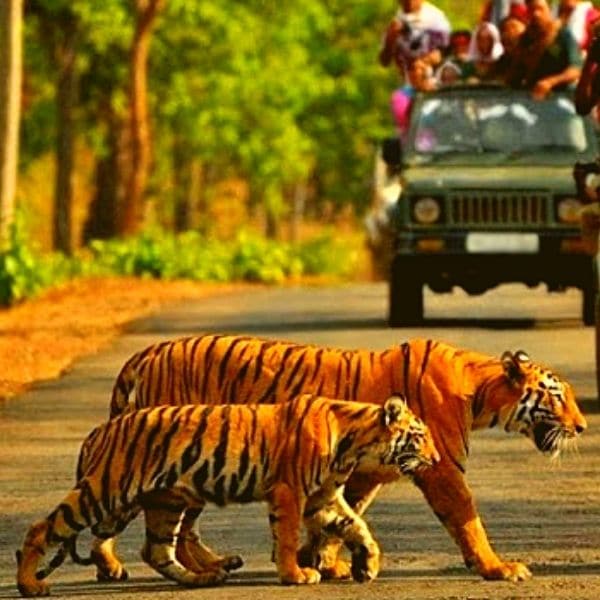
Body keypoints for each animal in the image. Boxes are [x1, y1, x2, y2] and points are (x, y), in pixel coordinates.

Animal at [14, 394, 436, 596]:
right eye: (420, 436)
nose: (436, 459)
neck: (355, 444)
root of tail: (99, 430)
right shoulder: (290, 491)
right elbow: (287, 537)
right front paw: (296, 575)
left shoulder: (323, 497)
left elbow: (357, 526)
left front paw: (368, 565)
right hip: (104, 491)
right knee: (41, 529)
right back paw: (30, 585)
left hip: (161, 501)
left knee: (155, 550)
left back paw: (205, 578)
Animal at [103, 336, 584, 584]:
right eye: (557, 396)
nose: (581, 427)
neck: (480, 392)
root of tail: (145, 353)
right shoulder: (441, 469)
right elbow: (468, 521)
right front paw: (497, 567)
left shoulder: (362, 474)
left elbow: (343, 516)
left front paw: (322, 561)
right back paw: (120, 567)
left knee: (179, 529)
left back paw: (212, 566)